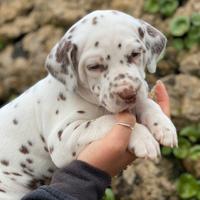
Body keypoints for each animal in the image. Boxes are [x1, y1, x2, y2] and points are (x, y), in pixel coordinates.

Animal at [0, 9, 177, 200]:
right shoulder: (62, 138)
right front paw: (143, 138)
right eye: (94, 66)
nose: (128, 93)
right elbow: (106, 121)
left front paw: (164, 125)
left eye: (135, 54)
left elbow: (147, 104)